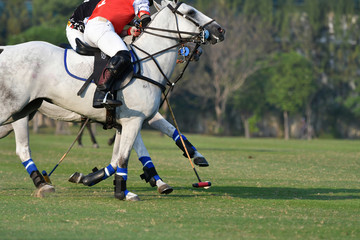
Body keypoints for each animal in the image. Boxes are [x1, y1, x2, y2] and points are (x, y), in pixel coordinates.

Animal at [0, 0, 224, 201]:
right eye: (191, 12)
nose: (220, 30)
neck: (147, 62)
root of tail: (5, 49)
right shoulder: (134, 120)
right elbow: (125, 157)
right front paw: (125, 191)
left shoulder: (124, 122)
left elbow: (120, 157)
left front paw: (90, 178)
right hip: (13, 110)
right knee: (23, 149)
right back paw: (43, 184)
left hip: (22, 113)